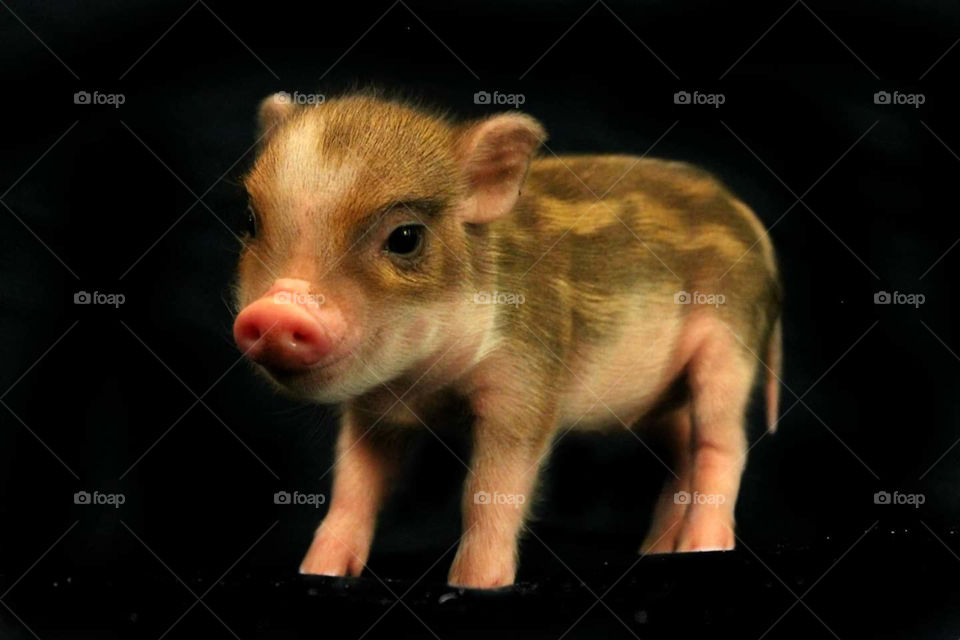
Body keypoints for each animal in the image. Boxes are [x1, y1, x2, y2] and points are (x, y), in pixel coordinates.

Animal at [232, 92, 782, 589]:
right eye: (251, 221)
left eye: (406, 237)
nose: (277, 308)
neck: (428, 382)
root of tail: (744, 218)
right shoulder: (376, 407)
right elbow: (354, 485)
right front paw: (317, 573)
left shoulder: (525, 376)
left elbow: (490, 488)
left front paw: (474, 586)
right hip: (663, 397)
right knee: (683, 451)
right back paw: (657, 551)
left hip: (729, 344)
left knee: (723, 443)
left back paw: (703, 548)